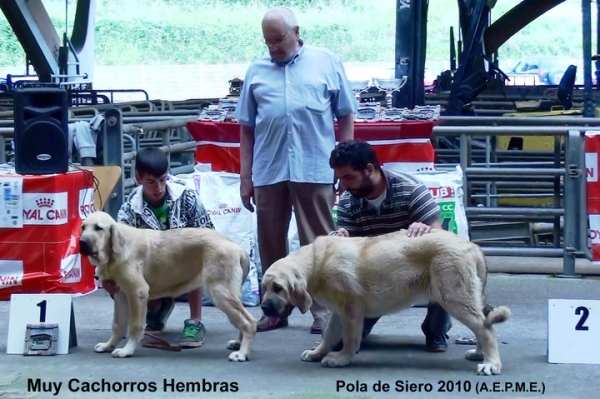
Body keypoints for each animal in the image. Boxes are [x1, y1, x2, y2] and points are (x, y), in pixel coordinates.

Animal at [78, 212, 255, 362]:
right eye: (83, 227)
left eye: (98, 228)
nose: (82, 242)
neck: (113, 254)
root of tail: (238, 247)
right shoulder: (120, 295)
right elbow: (117, 325)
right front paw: (108, 345)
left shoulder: (137, 293)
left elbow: (135, 326)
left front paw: (127, 350)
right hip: (229, 294)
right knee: (241, 320)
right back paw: (238, 343)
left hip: (220, 293)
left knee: (249, 322)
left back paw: (242, 353)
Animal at [262, 230, 510, 376]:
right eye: (264, 287)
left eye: (278, 288)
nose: (264, 308)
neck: (316, 263)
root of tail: (473, 246)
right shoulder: (338, 312)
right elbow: (329, 335)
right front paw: (317, 353)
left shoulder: (351, 310)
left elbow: (349, 339)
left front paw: (342, 358)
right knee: (482, 325)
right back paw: (479, 354)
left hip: (454, 297)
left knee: (486, 328)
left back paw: (491, 363)